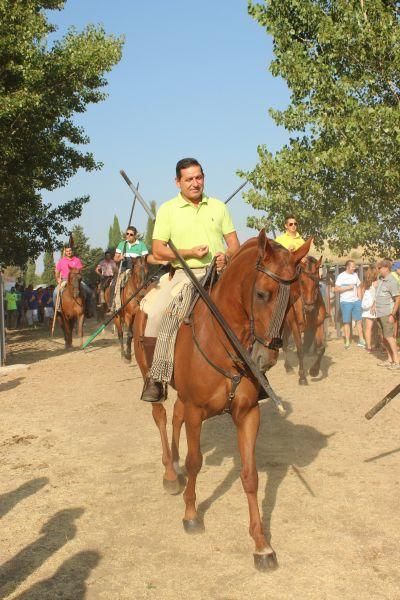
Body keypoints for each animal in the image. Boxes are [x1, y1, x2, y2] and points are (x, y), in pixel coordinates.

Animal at [133, 231, 310, 572]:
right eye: (262, 293)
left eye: (294, 296)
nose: (264, 359)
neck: (225, 339)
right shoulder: (196, 411)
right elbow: (196, 461)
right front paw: (191, 515)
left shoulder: (247, 413)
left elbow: (250, 475)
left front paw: (262, 545)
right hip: (149, 374)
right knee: (161, 416)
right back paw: (171, 474)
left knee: (174, 417)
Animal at [282, 255, 326, 386]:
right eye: (301, 281)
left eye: (317, 281)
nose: (309, 308)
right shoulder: (295, 327)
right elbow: (300, 350)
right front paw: (302, 377)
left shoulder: (319, 325)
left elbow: (321, 348)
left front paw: (314, 371)